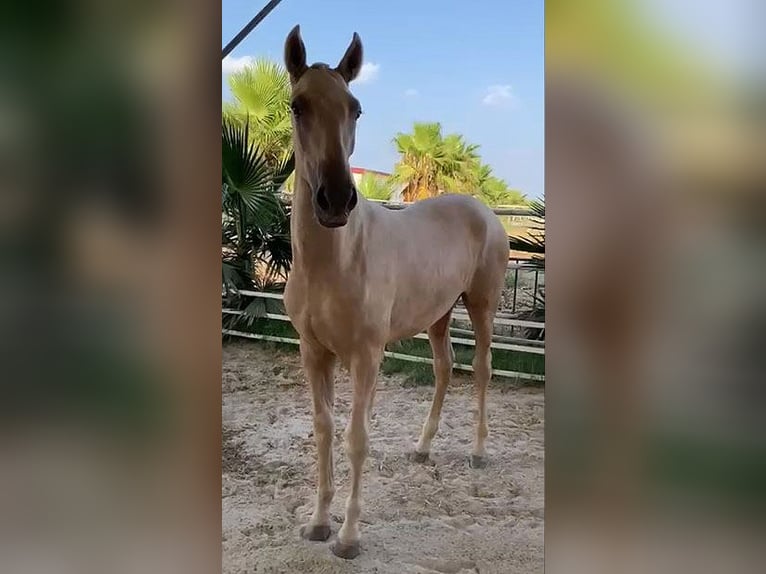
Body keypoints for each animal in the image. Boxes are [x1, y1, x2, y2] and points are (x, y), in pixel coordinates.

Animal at [282, 24, 510, 560]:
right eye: (298, 106)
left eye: (356, 107)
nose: (335, 200)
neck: (335, 261)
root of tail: (483, 210)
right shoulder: (313, 352)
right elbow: (323, 430)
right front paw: (318, 524)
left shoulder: (367, 355)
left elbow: (356, 437)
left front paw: (348, 538)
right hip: (438, 315)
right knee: (446, 368)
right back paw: (423, 449)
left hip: (482, 307)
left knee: (482, 369)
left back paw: (478, 453)